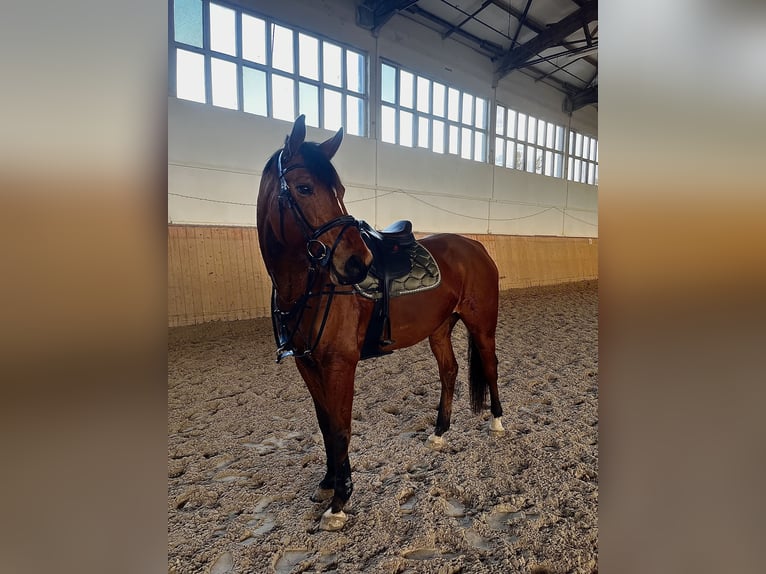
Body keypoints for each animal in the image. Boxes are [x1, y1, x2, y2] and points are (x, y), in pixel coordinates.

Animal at [256, 115, 505, 531]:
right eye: (304, 188)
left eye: (340, 189)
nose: (357, 263)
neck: (309, 286)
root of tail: (476, 246)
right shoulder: (308, 364)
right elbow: (324, 423)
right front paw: (328, 483)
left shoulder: (340, 364)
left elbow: (340, 427)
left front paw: (340, 502)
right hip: (439, 329)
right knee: (450, 371)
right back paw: (439, 432)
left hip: (482, 325)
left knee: (490, 366)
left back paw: (498, 422)